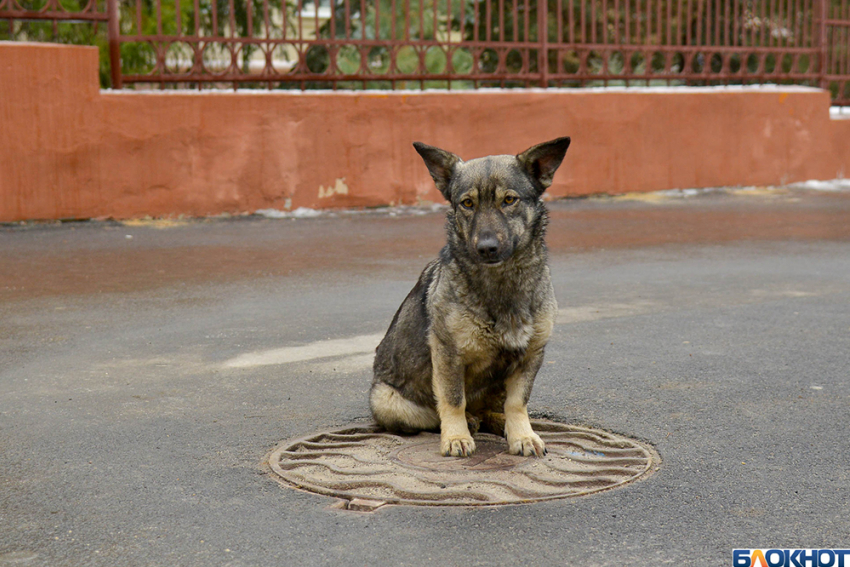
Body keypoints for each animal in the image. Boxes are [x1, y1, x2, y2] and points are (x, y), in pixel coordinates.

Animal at [366, 136, 568, 458]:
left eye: (509, 200)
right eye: (468, 203)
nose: (486, 248)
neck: (501, 284)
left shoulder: (531, 355)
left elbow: (517, 403)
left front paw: (522, 435)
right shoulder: (448, 355)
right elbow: (452, 400)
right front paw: (456, 436)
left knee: (491, 410)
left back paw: (497, 422)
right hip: (387, 401)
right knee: (435, 415)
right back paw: (469, 423)